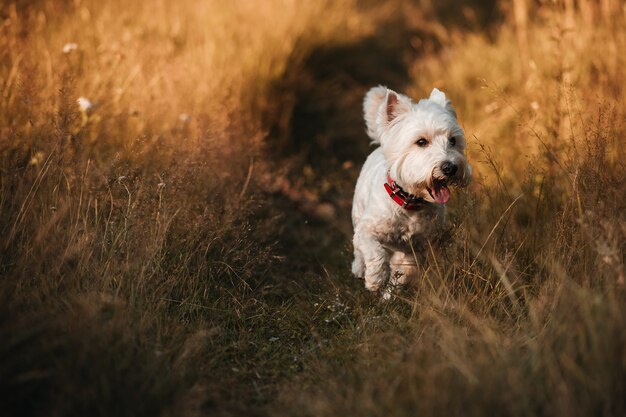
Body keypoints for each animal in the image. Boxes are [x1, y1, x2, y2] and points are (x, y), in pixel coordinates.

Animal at [352, 85, 468, 292]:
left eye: (453, 141)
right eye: (421, 142)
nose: (450, 168)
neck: (410, 202)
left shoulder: (417, 247)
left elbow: (403, 271)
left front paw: (390, 293)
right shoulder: (368, 229)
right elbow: (373, 250)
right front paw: (375, 278)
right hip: (357, 211)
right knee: (358, 247)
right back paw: (359, 268)